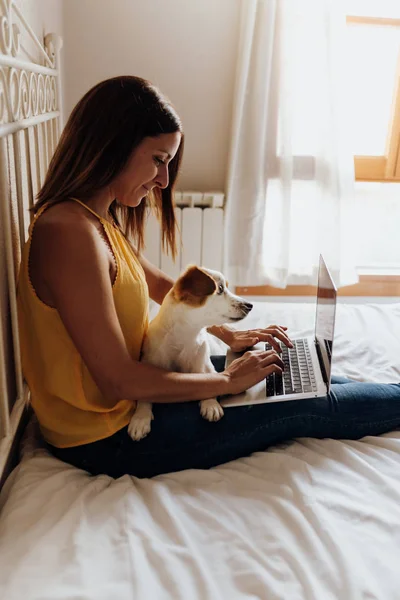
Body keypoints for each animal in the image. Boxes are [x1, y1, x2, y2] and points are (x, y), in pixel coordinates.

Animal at [128, 266, 253, 440]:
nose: (250, 305)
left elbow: (208, 378)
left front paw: (210, 404)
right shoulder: (149, 363)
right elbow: (144, 397)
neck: (186, 336)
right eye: (220, 289)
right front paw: (140, 418)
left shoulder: (205, 364)